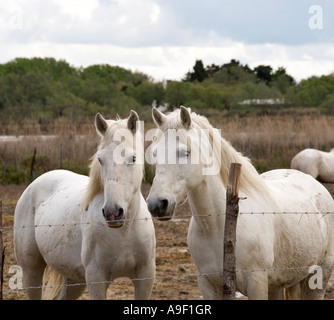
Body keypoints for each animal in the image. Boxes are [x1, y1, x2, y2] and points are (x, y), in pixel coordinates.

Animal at [14, 110, 157, 300]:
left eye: (133, 158)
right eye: (100, 159)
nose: (112, 213)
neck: (125, 231)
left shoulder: (145, 277)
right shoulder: (96, 278)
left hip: (74, 279)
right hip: (32, 271)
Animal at [147, 105, 334, 300]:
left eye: (185, 152)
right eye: (155, 153)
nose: (157, 204)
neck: (218, 226)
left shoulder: (257, 284)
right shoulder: (207, 284)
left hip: (319, 276)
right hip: (277, 284)